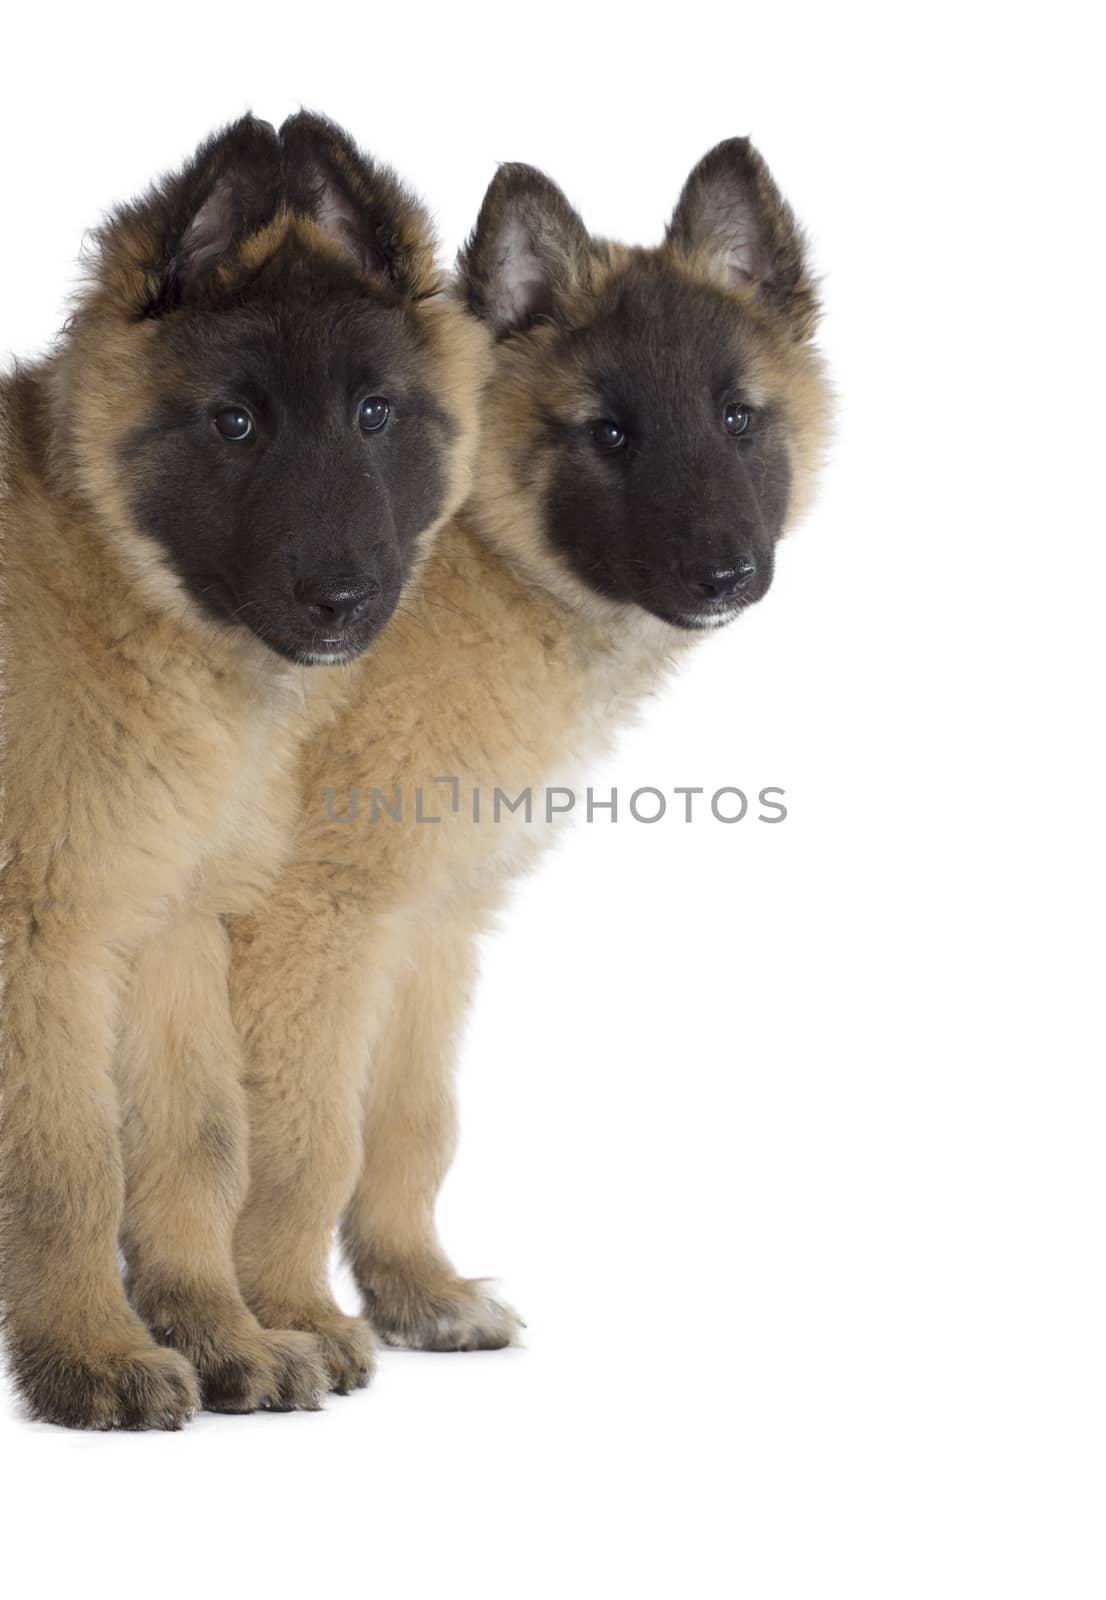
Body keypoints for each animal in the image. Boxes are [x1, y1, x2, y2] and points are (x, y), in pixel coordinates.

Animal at [0, 118, 483, 1433]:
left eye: (374, 412)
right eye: (233, 425)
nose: (342, 600)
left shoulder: (174, 927)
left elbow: (198, 1143)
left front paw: (221, 1334)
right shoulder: (42, 939)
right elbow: (68, 1166)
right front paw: (93, 1356)